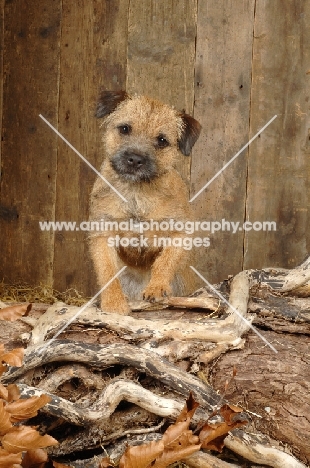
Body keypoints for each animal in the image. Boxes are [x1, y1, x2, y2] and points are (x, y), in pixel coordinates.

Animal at [88, 91, 202, 314]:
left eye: (162, 140)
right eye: (125, 129)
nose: (135, 159)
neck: (136, 195)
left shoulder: (181, 232)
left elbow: (165, 260)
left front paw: (156, 287)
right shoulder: (102, 235)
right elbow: (107, 271)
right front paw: (114, 303)